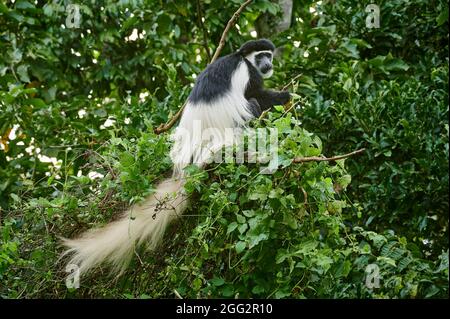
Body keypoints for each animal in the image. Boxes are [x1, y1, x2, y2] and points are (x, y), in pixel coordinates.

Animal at [61, 39, 290, 276]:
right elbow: (257, 94)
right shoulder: (249, 73)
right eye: (261, 56)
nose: (268, 64)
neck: (243, 58)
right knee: (251, 104)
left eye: (269, 55)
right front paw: (286, 96)